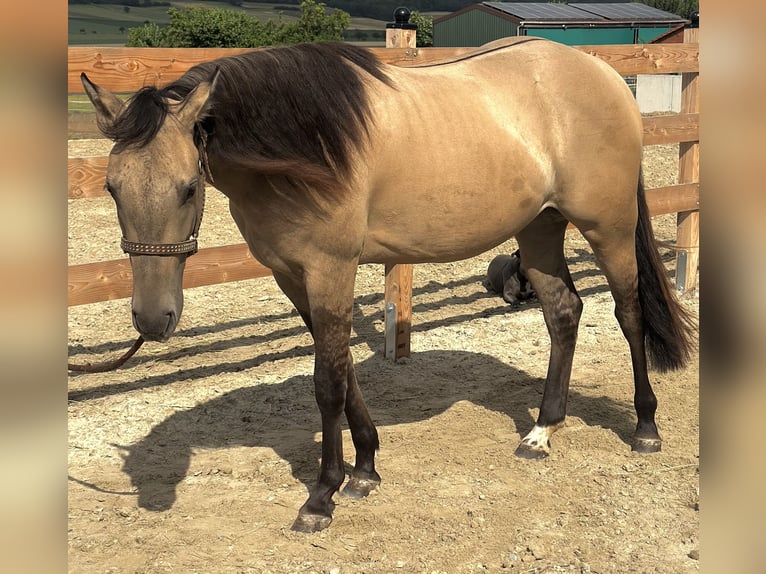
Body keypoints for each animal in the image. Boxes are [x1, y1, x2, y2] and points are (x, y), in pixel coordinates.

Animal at [81, 38, 696, 532]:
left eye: (188, 187)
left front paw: (323, 496)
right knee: (564, 312)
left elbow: (327, 382)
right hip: (539, 229)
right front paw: (366, 469)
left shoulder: (330, 269)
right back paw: (542, 431)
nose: (151, 319)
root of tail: (605, 75)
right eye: (111, 188)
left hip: (607, 227)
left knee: (630, 313)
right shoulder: (293, 276)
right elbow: (340, 366)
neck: (302, 147)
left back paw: (645, 427)